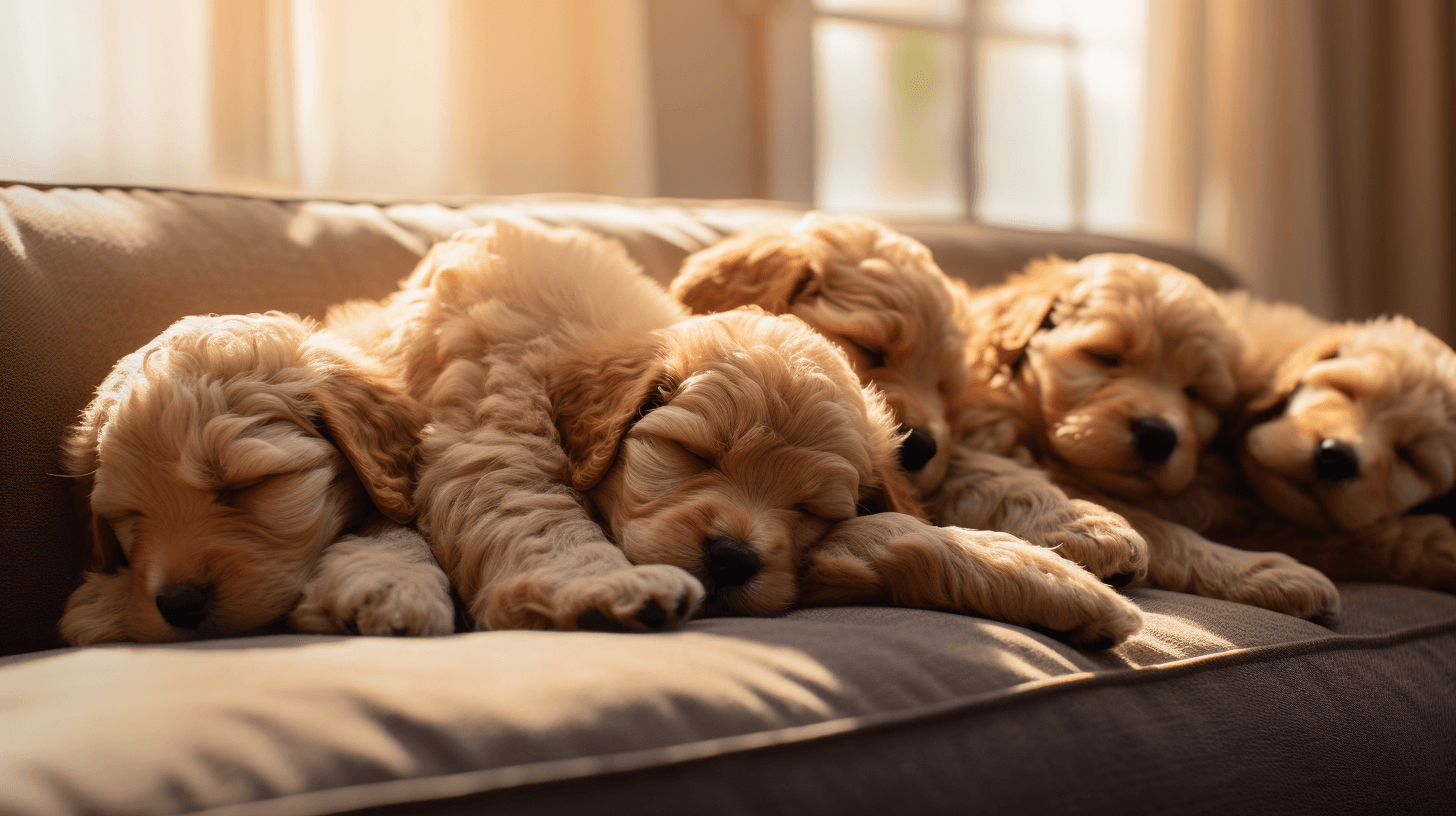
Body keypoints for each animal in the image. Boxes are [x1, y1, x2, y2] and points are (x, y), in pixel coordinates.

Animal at [58, 310, 454, 644]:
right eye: (130, 515)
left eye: (247, 484)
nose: (179, 603)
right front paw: (106, 603)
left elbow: (396, 524)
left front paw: (392, 583)